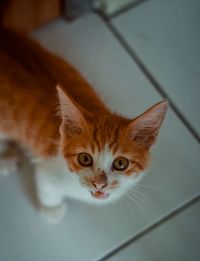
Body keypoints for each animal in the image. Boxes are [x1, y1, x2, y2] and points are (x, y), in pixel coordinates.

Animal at [0, 29, 168, 221]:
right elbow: (47, 189)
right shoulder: (48, 170)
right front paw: (51, 210)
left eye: (121, 163)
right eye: (85, 159)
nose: (99, 184)